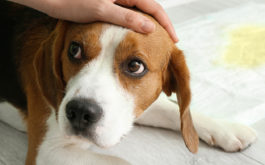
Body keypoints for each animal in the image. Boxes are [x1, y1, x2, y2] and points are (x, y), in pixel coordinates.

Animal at [0, 1, 256, 165]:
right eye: (74, 50)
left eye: (135, 66)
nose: (80, 112)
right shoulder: (46, 153)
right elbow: (121, 162)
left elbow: (173, 110)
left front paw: (226, 128)